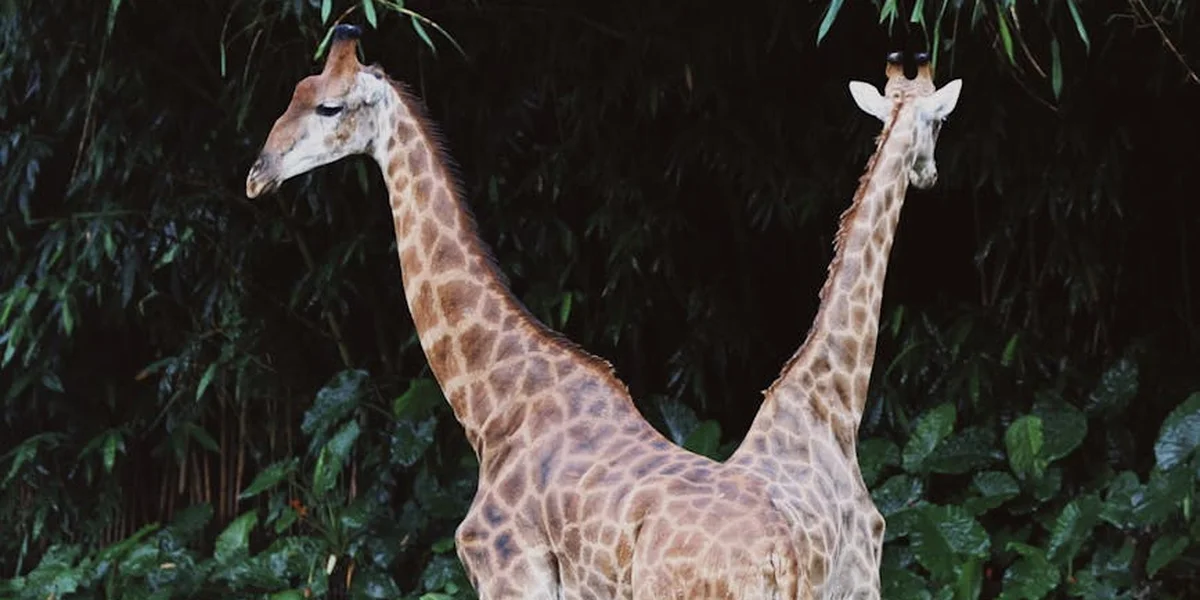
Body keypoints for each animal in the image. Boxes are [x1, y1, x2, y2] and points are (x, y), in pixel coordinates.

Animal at [246, 24, 814, 599]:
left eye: (330, 107)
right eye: (293, 93)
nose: (257, 175)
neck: (494, 408)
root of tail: (780, 558)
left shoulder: (509, 574)